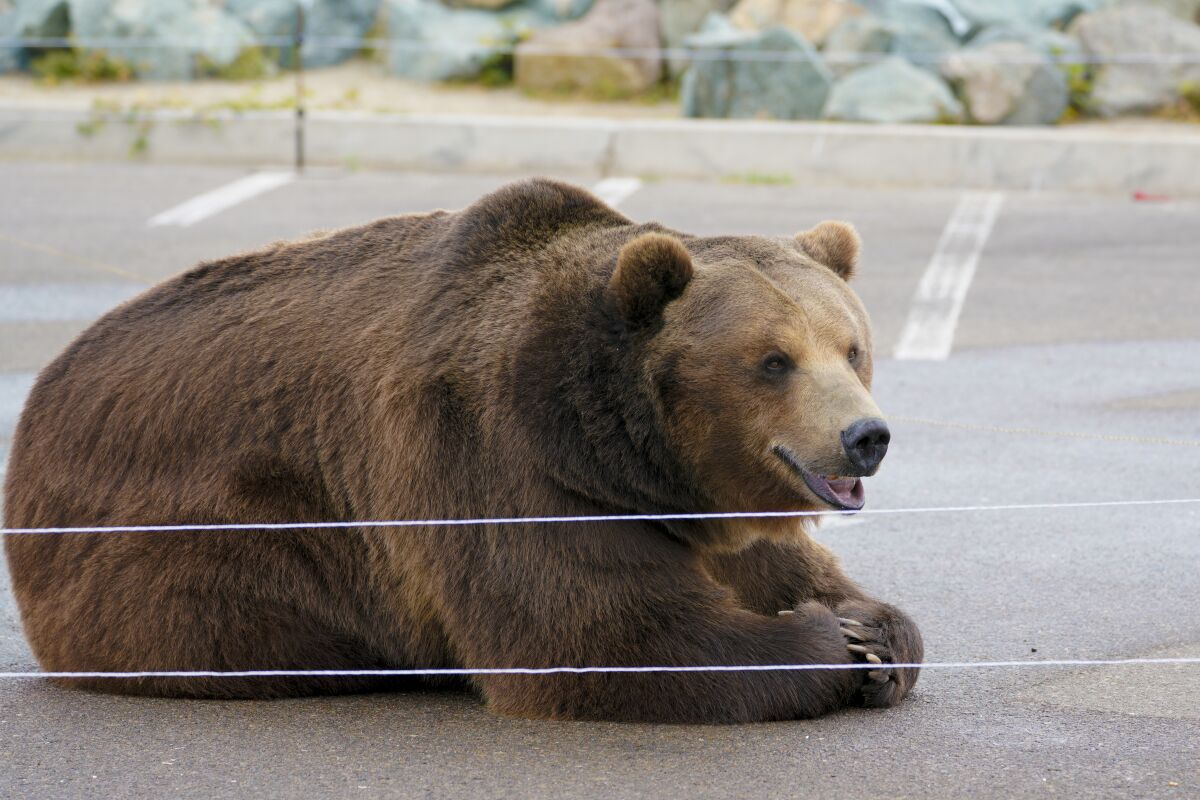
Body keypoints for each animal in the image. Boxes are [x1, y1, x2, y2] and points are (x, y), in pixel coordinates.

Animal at [3, 178, 922, 723]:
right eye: (773, 360)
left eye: (851, 348)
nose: (865, 437)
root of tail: (42, 396)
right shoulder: (496, 460)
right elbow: (600, 630)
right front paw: (829, 642)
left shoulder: (707, 506)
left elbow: (776, 566)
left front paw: (878, 629)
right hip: (192, 535)